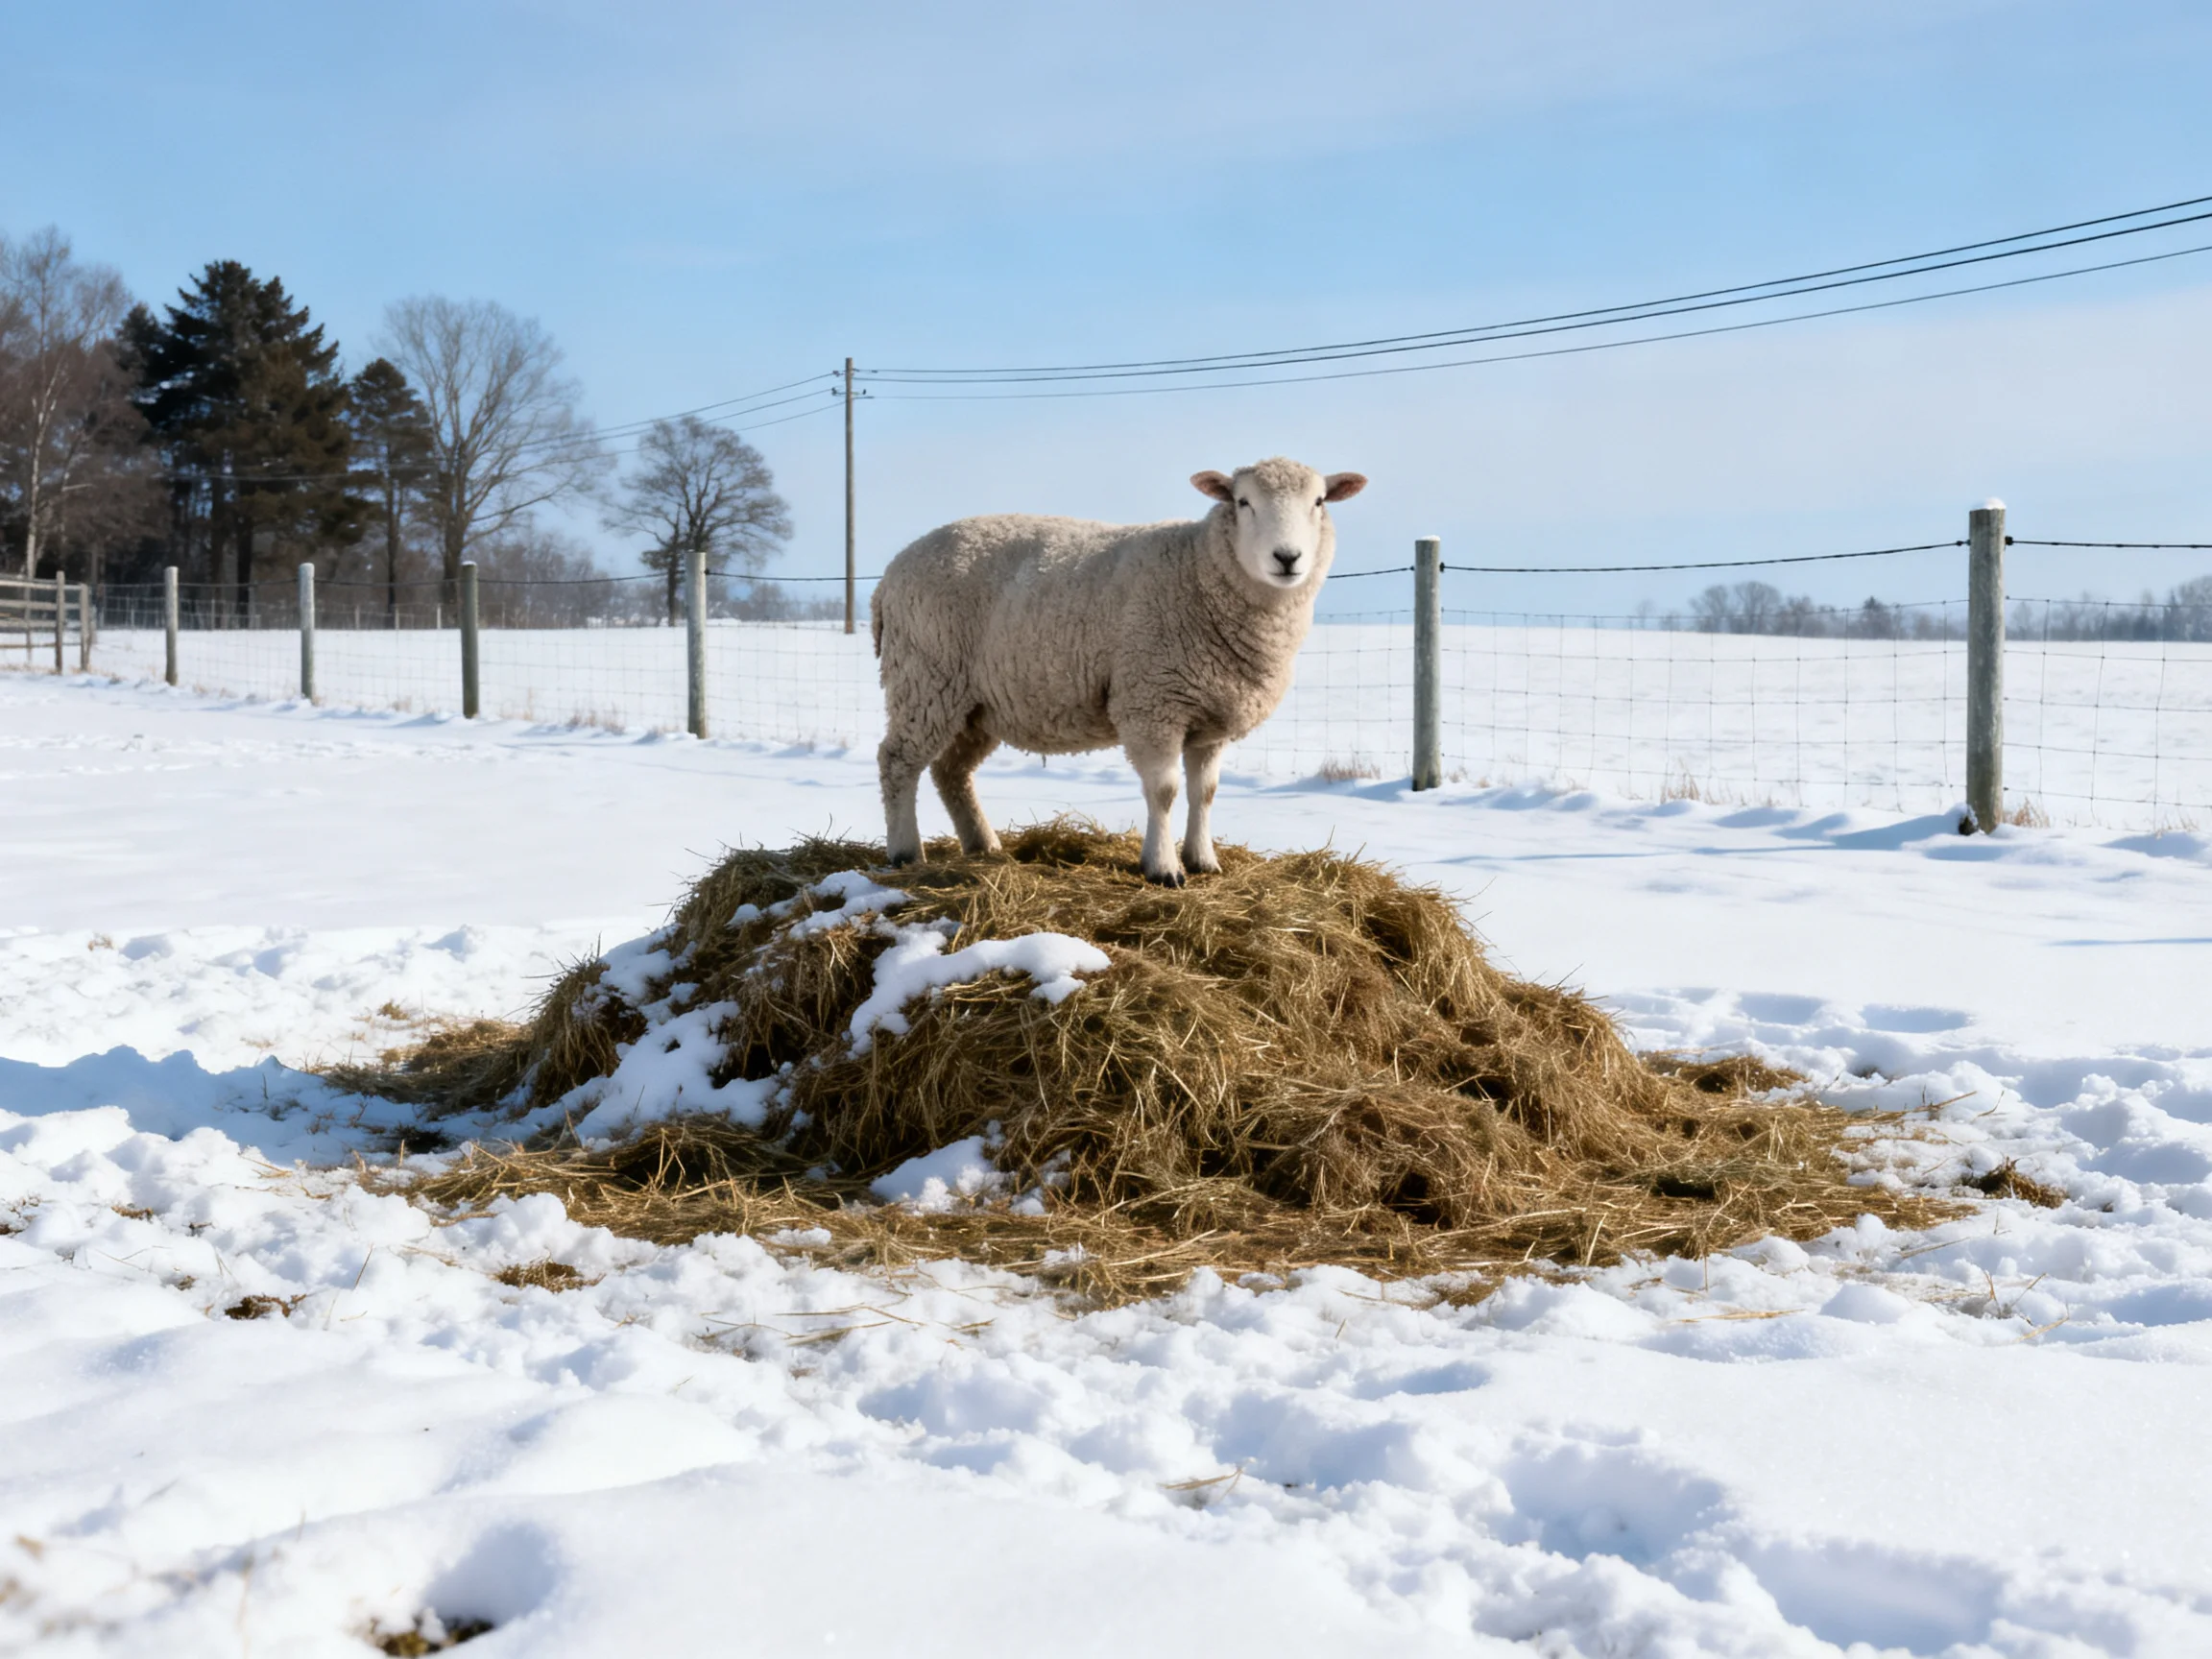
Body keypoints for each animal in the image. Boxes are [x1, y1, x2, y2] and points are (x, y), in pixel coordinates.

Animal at [870, 457, 1368, 884]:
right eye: (1243, 502)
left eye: (1318, 502)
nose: (1288, 557)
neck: (1199, 571)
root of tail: (889, 575)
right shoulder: (1153, 702)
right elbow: (1164, 791)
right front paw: (1163, 868)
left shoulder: (1210, 715)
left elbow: (1204, 792)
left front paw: (1203, 860)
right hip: (926, 676)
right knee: (898, 761)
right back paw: (907, 852)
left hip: (976, 702)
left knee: (951, 772)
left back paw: (983, 845)